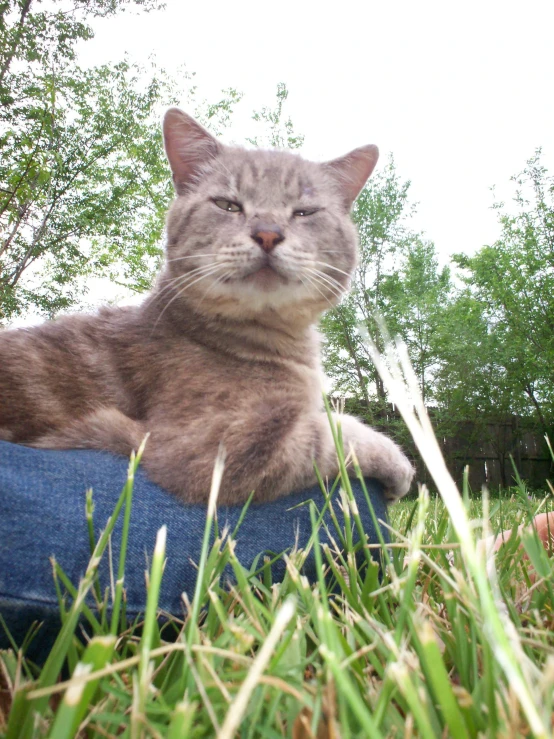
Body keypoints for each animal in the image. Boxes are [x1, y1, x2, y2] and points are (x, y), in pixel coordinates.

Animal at [0, 108, 412, 502]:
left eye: (304, 212)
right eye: (228, 205)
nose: (267, 233)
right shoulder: (211, 448)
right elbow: (336, 433)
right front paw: (400, 467)